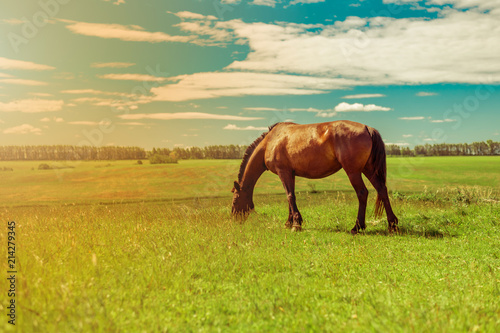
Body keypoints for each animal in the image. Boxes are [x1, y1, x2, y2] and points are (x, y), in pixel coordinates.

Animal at [230, 120, 398, 233]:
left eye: (236, 199)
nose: (233, 218)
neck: (270, 141)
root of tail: (367, 128)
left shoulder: (283, 172)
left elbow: (290, 196)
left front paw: (296, 224)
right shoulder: (290, 173)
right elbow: (290, 197)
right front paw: (290, 222)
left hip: (353, 171)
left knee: (362, 193)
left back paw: (357, 227)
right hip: (368, 169)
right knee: (382, 190)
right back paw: (392, 224)